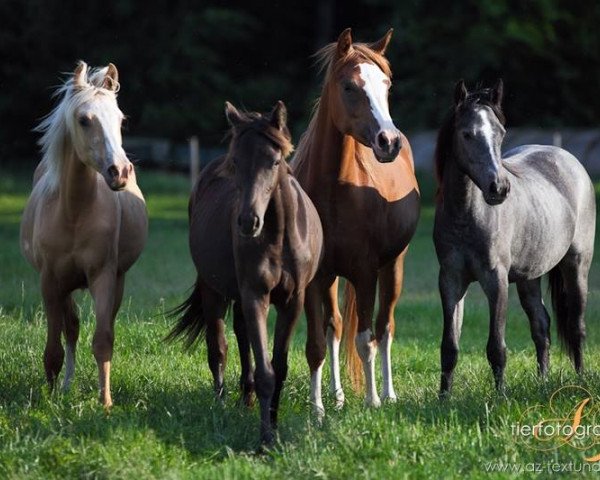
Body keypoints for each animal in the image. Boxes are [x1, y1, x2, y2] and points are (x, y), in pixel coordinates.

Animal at [20, 62, 148, 406]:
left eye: (121, 119)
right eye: (83, 119)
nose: (120, 172)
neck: (74, 213)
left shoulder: (103, 276)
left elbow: (103, 340)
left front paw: (105, 403)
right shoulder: (50, 281)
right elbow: (54, 347)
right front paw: (49, 399)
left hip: (116, 280)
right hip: (65, 285)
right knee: (71, 328)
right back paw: (65, 386)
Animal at [166, 102, 326, 446]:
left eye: (275, 161)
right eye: (236, 161)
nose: (248, 221)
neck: (279, 237)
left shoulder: (292, 301)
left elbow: (278, 366)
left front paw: (274, 424)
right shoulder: (255, 296)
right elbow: (266, 371)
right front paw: (266, 438)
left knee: (240, 333)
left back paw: (246, 398)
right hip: (213, 291)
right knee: (218, 348)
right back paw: (222, 406)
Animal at [292, 28, 420, 416]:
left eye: (387, 85)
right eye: (349, 86)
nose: (388, 142)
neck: (335, 190)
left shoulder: (365, 273)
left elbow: (366, 340)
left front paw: (373, 400)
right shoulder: (316, 277)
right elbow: (317, 344)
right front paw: (317, 409)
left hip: (393, 267)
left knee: (384, 327)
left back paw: (388, 394)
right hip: (334, 277)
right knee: (335, 328)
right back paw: (336, 396)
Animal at [434, 80, 596, 396]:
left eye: (501, 133)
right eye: (467, 134)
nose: (499, 188)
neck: (466, 214)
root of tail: (568, 159)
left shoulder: (495, 280)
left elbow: (496, 347)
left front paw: (500, 397)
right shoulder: (450, 280)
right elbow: (449, 347)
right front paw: (443, 398)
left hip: (577, 265)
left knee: (576, 326)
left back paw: (581, 379)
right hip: (528, 277)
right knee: (541, 326)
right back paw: (543, 381)